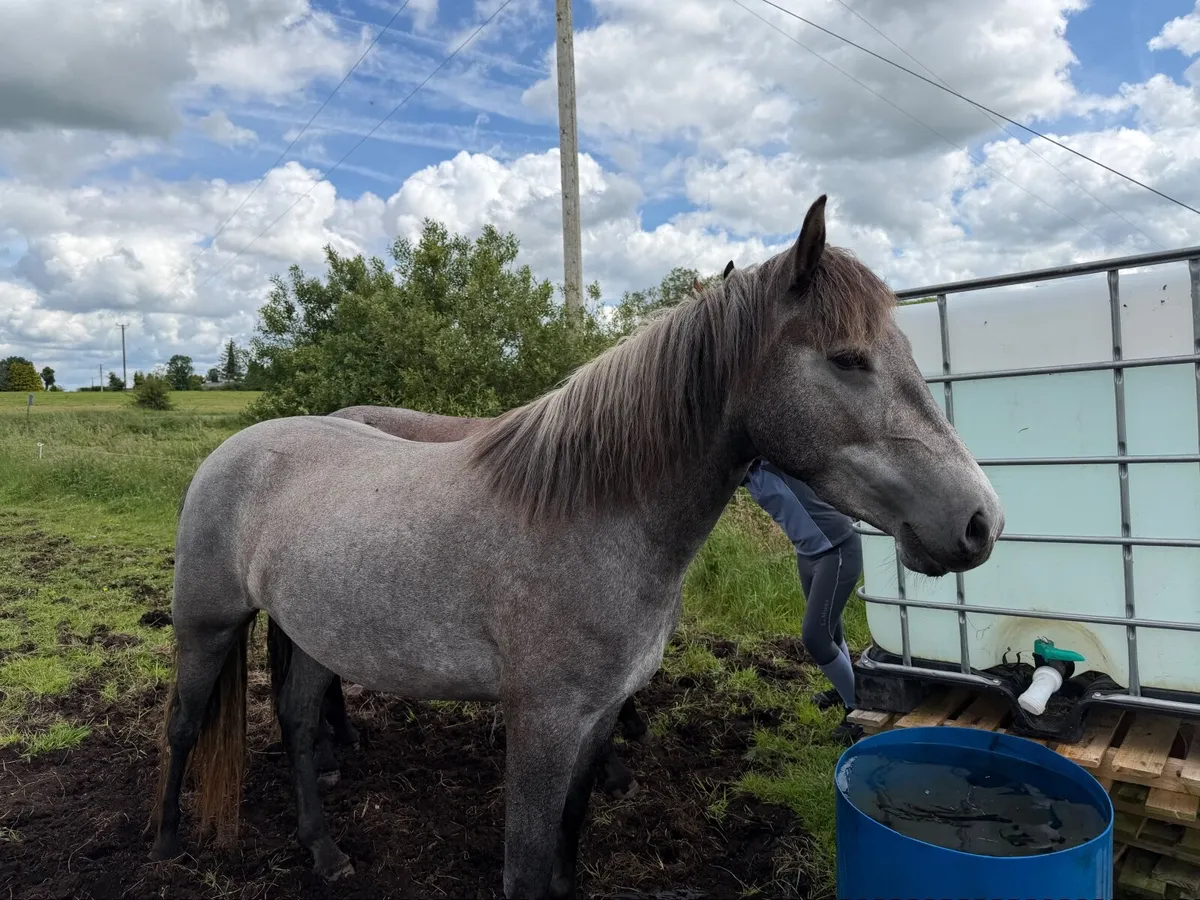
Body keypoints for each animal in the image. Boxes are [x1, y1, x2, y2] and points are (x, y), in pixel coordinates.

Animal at [149, 195, 1003, 899]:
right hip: (206, 624)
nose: (979, 520)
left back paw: (324, 852)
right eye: (847, 359)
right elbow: (525, 867)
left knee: (297, 725)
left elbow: (570, 837)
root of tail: (240, 446)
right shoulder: (543, 723)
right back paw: (163, 841)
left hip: (317, 635)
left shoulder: (598, 715)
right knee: (184, 726)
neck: (592, 520)